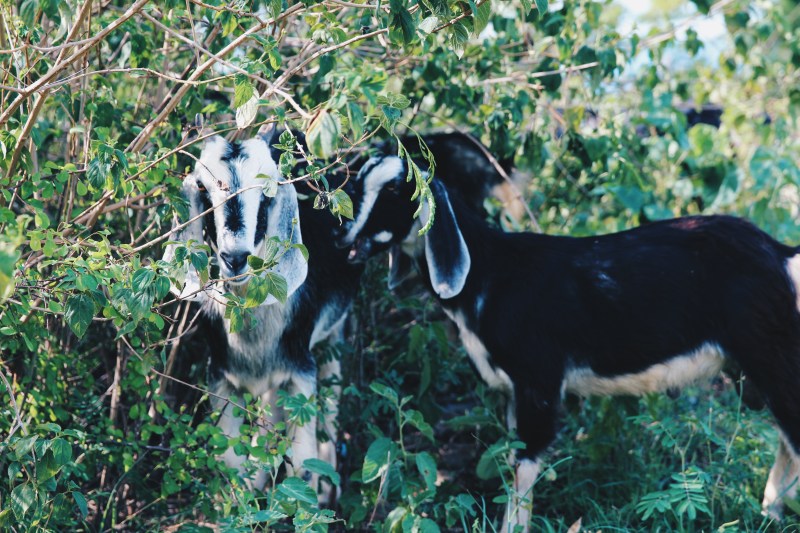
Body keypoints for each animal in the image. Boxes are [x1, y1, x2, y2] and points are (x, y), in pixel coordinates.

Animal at [163, 129, 364, 503]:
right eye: (202, 188)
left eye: (269, 191)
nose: (235, 258)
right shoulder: (223, 375)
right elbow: (227, 462)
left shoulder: (300, 369)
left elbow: (303, 464)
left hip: (333, 336)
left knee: (330, 398)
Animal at [337, 154, 800, 530]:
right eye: (358, 184)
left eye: (396, 192)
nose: (343, 239)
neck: (493, 274)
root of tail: (781, 255)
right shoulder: (514, 391)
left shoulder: (539, 381)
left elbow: (524, 465)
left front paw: (513, 528)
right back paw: (769, 513)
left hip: (772, 355)